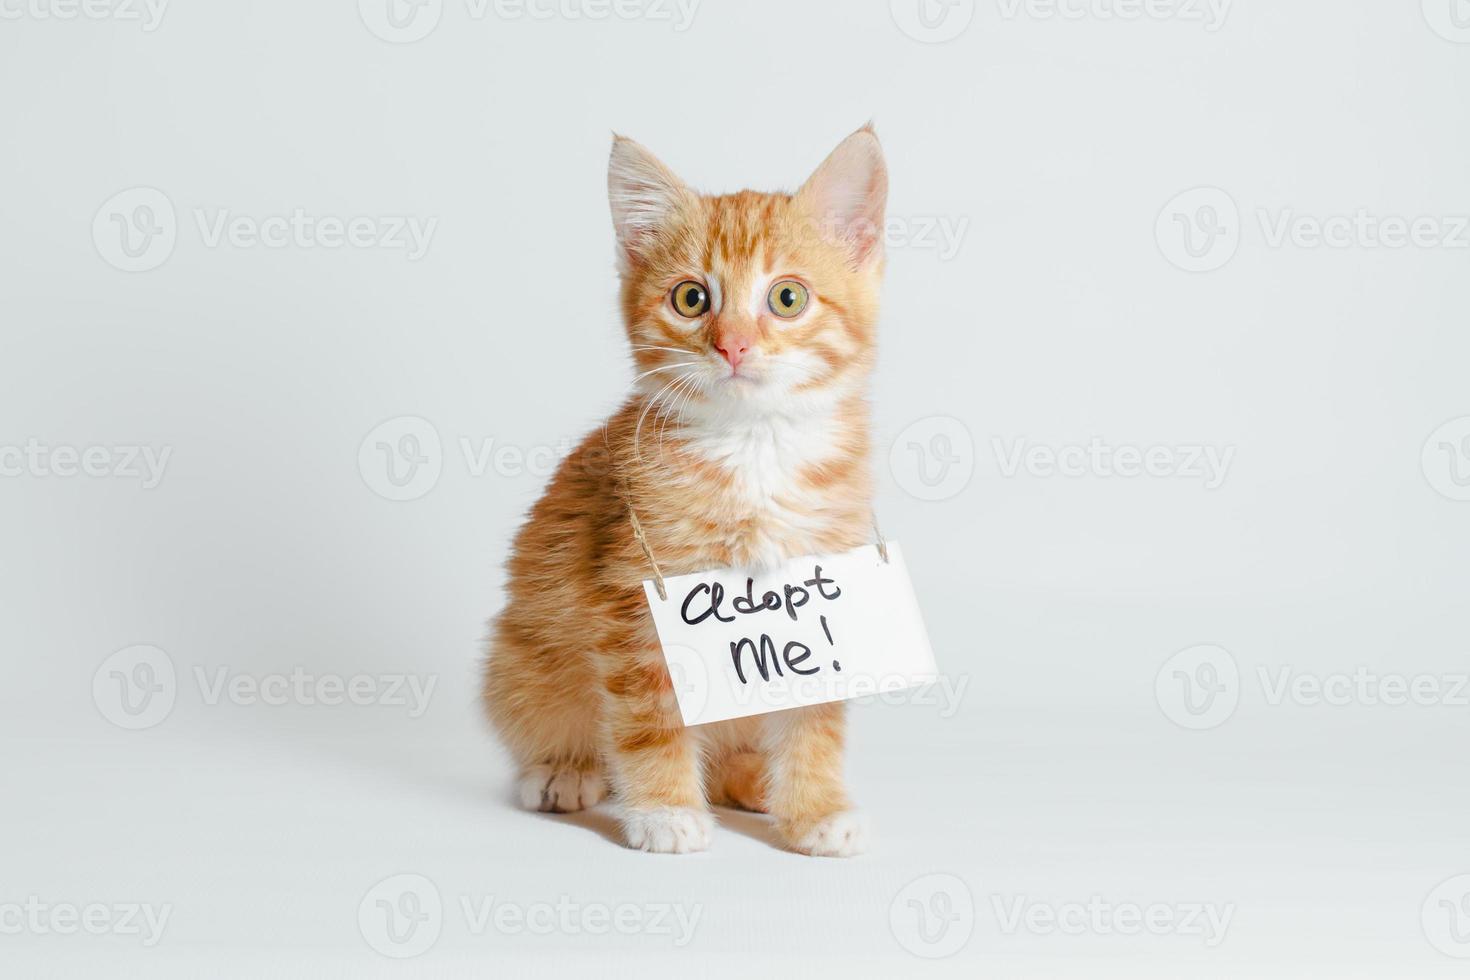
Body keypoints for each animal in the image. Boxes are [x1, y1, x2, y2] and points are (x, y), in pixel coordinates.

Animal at [482, 126, 882, 852]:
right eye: (691, 299)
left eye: (787, 298)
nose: (733, 346)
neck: (754, 449)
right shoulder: (635, 599)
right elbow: (649, 716)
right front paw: (664, 810)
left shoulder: (819, 590)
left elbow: (814, 715)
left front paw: (817, 810)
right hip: (518, 657)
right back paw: (564, 771)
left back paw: (753, 780)